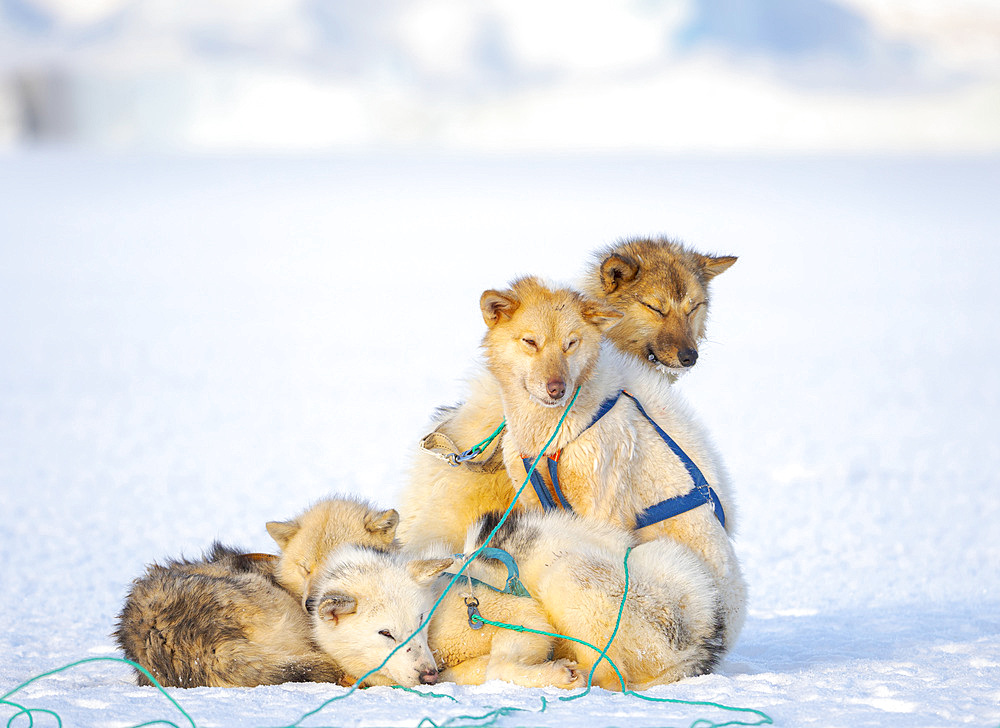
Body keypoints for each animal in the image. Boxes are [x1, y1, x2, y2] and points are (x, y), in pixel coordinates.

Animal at [476, 278, 744, 648]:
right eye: (530, 341)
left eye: (571, 343)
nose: (557, 388)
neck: (552, 438)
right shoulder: (531, 499)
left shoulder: (599, 506)